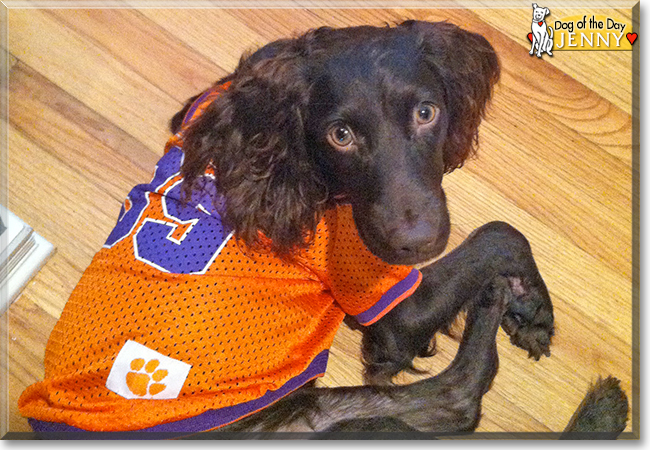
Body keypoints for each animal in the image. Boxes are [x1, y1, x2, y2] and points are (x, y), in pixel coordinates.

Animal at [19, 20, 628, 436]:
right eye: (341, 135)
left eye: (426, 113)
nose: (416, 244)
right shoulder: (385, 298)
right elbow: (501, 232)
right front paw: (530, 301)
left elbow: (501, 235)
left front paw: (532, 308)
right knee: (456, 397)